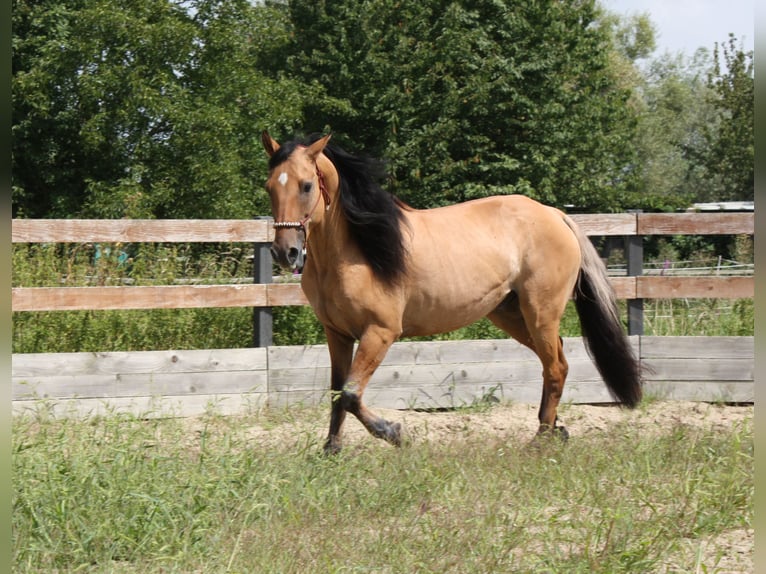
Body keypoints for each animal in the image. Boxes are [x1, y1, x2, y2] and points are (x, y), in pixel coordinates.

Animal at [260, 132, 644, 454]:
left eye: (306, 185)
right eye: (269, 187)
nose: (285, 252)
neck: (358, 250)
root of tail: (556, 215)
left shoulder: (380, 332)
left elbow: (352, 394)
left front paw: (393, 432)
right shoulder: (337, 334)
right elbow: (337, 392)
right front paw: (331, 450)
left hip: (541, 313)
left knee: (556, 367)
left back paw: (540, 440)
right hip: (511, 315)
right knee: (555, 363)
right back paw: (554, 429)